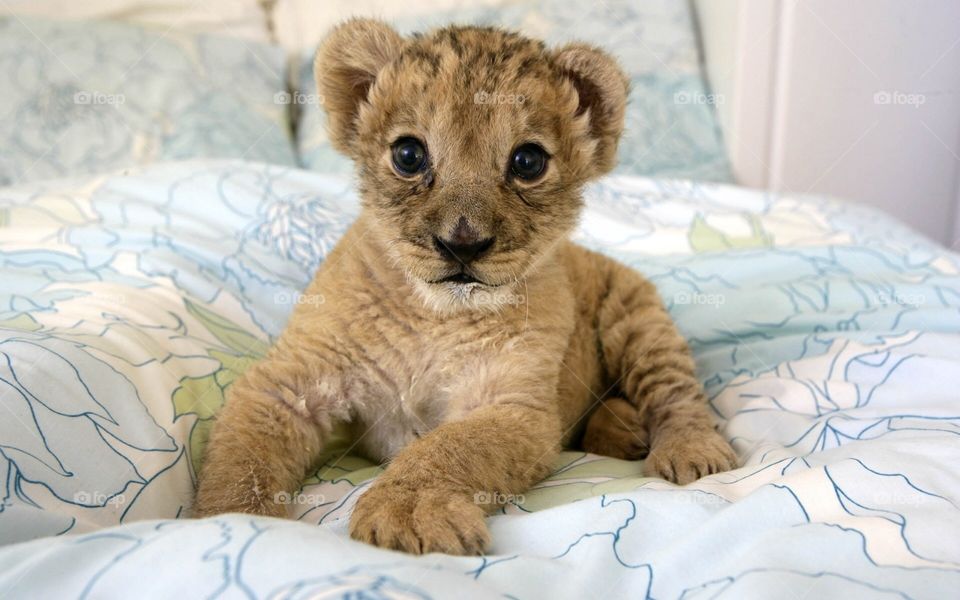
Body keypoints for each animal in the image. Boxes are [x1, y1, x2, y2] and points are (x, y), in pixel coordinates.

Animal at [193, 19, 738, 555]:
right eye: (408, 154)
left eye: (528, 162)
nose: (462, 244)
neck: (433, 316)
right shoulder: (289, 384)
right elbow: (242, 463)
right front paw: (231, 524)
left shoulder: (514, 406)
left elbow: (450, 447)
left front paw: (407, 512)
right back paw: (623, 431)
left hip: (639, 320)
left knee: (676, 393)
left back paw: (689, 452)